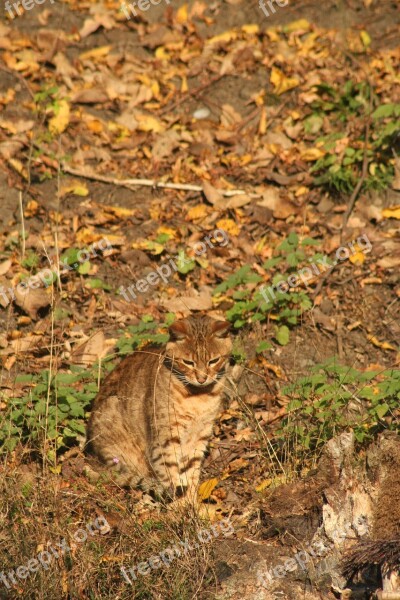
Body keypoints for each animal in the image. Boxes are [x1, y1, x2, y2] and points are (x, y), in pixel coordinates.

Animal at [87, 314, 231, 496]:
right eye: (188, 362)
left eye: (213, 361)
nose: (201, 378)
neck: (199, 396)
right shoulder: (166, 439)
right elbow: (171, 475)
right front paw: (180, 502)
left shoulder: (199, 436)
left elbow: (190, 473)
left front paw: (191, 501)